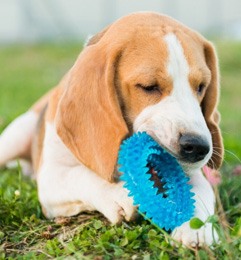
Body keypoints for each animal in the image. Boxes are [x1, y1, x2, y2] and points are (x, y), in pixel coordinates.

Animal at [0, 12, 224, 248]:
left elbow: (201, 190)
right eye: (148, 86)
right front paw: (117, 194)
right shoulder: (52, 177)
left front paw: (198, 228)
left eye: (201, 87)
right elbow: (80, 174)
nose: (198, 147)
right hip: (16, 135)